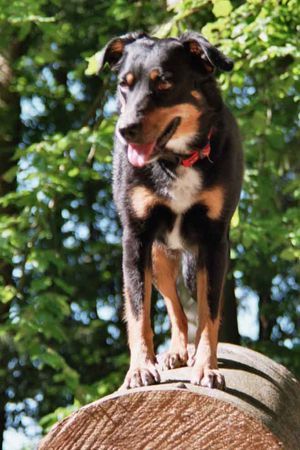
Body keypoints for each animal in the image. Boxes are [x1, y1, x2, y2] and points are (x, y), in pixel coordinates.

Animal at [97, 31, 243, 390]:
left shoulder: (214, 242)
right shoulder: (136, 240)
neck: (176, 160)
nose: (125, 129)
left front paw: (206, 367)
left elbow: (209, 314)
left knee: (194, 307)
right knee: (174, 307)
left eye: (163, 83)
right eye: (123, 84)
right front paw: (139, 368)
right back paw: (176, 351)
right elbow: (138, 313)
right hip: (159, 256)